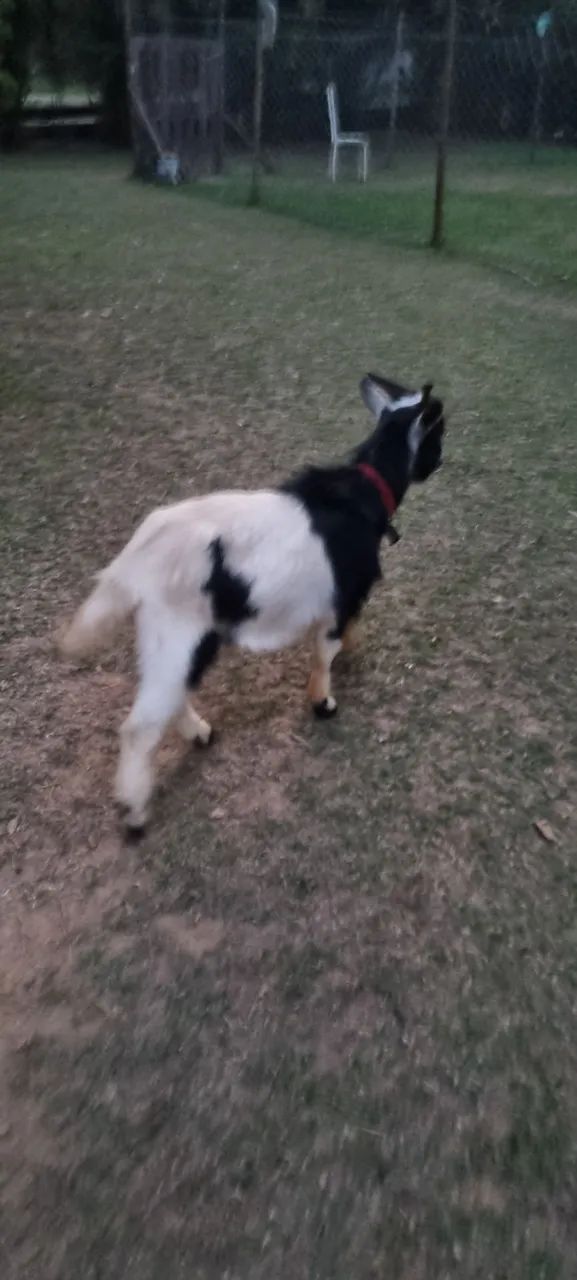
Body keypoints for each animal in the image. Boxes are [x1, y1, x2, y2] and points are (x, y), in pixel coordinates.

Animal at [59, 373, 445, 834]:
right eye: (439, 430)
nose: (440, 462)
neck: (365, 491)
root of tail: (133, 561)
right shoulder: (341, 594)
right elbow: (324, 651)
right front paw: (323, 702)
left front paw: (353, 649)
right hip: (179, 631)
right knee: (141, 725)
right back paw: (135, 812)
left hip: (166, 637)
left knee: (170, 693)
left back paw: (199, 734)